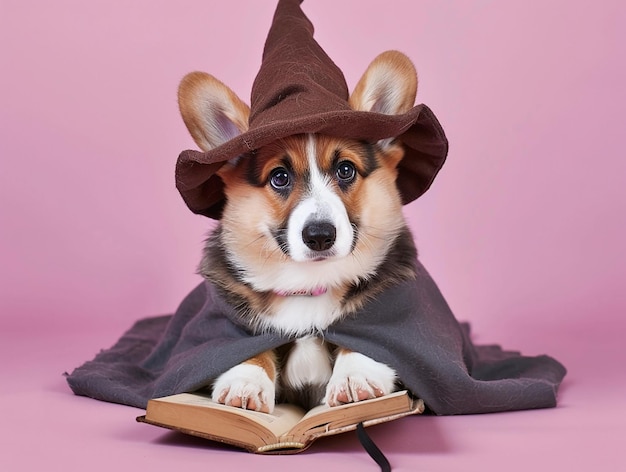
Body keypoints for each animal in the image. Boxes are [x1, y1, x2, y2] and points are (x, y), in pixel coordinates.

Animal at [177, 50, 420, 412]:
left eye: (345, 170)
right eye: (279, 177)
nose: (320, 236)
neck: (309, 284)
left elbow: (369, 344)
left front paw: (355, 376)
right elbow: (247, 348)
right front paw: (245, 381)